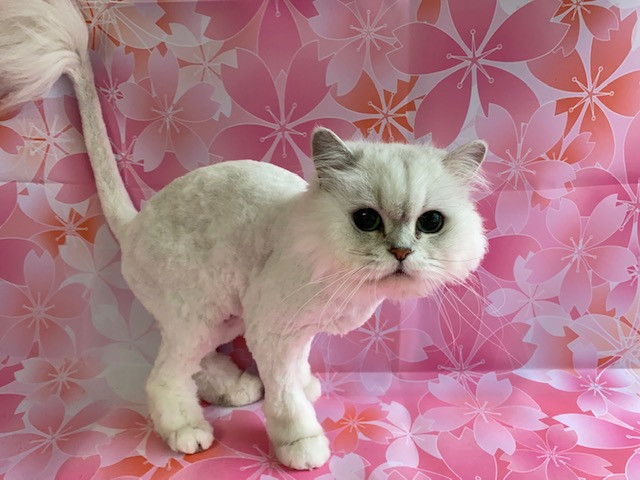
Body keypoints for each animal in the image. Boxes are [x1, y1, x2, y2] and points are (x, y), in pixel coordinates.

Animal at [0, 0, 488, 470]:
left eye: (430, 223)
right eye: (366, 220)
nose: (402, 251)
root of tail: (134, 222)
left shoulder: (293, 330)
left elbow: (298, 368)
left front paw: (306, 385)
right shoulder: (271, 326)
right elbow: (287, 398)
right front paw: (299, 444)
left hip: (222, 316)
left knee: (191, 363)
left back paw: (235, 388)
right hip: (201, 313)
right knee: (165, 376)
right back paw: (188, 430)